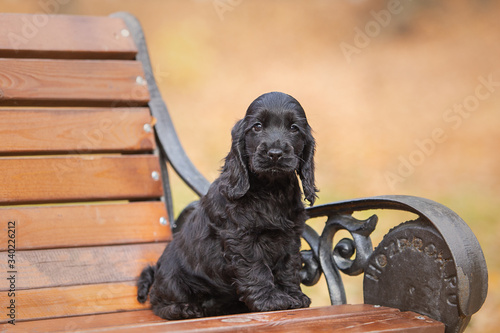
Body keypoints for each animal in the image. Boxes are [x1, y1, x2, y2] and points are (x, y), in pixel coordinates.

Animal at [137, 91, 316, 320]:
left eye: (294, 128)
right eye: (257, 126)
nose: (275, 153)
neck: (271, 190)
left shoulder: (290, 237)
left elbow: (289, 266)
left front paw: (293, 296)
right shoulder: (241, 239)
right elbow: (257, 269)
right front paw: (270, 300)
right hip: (173, 279)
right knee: (158, 303)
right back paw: (187, 308)